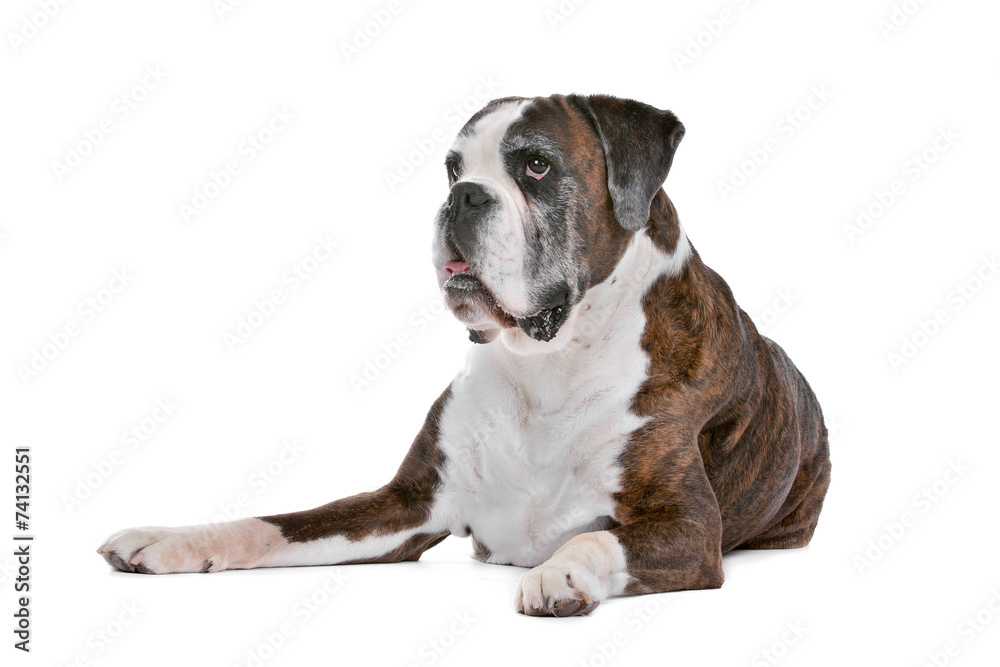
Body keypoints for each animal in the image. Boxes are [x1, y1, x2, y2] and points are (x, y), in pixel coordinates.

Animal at [97, 92, 832, 616]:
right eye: (452, 168)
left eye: (536, 165)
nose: (461, 196)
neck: (550, 363)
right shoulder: (405, 505)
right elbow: (278, 523)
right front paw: (171, 538)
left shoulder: (688, 528)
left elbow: (598, 536)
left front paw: (560, 570)